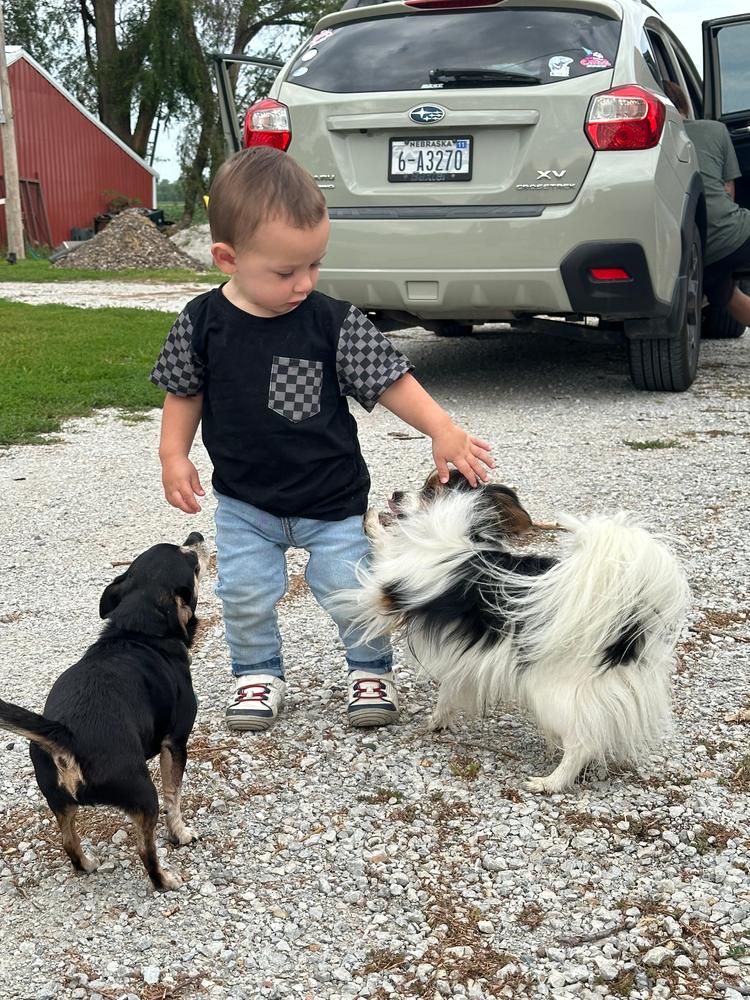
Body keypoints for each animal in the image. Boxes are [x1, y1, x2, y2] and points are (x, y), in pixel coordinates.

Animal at [0, 532, 209, 892]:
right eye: (191, 559)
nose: (197, 536)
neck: (138, 630)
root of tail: (65, 735)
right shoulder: (175, 743)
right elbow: (175, 796)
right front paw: (181, 834)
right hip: (144, 794)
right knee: (145, 851)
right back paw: (165, 879)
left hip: (59, 803)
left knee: (69, 842)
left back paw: (86, 864)